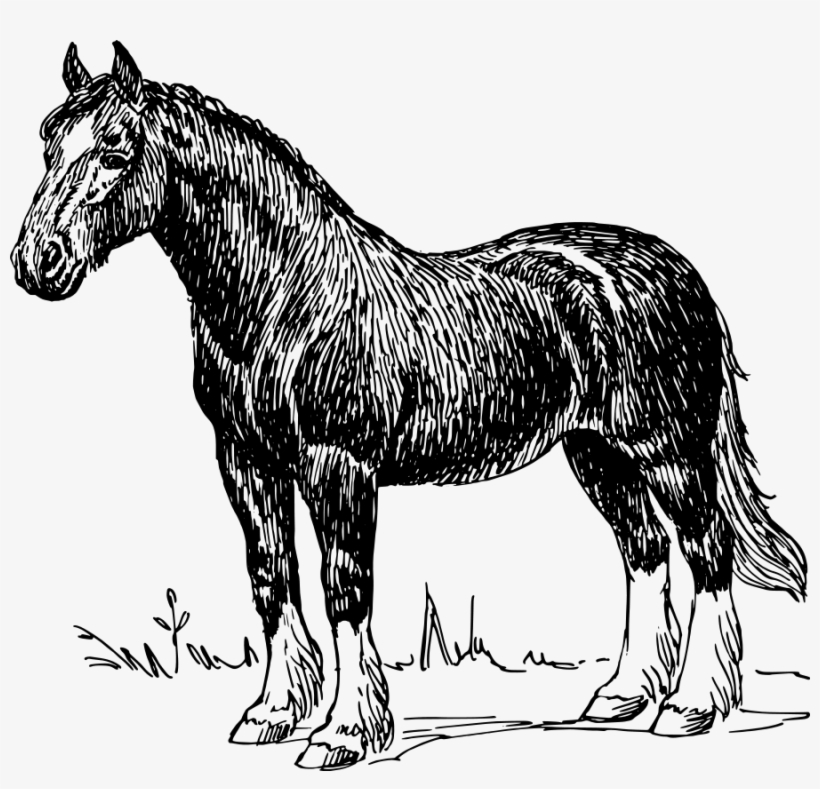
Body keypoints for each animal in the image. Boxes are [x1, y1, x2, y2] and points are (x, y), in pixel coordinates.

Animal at [11, 42, 807, 769]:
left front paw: (343, 732)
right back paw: (621, 696)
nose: (36, 262)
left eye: (115, 149)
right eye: (50, 142)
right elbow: (272, 578)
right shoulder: (246, 461)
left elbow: (345, 590)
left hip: (667, 449)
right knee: (643, 553)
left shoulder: (338, 467)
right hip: (599, 454)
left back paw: (691, 706)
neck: (284, 295)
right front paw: (273, 713)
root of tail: (678, 270)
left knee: (707, 551)